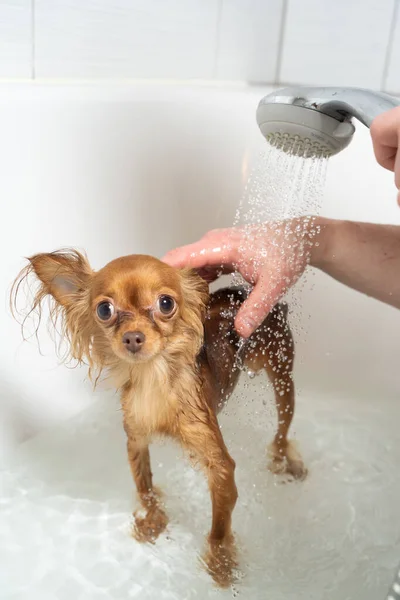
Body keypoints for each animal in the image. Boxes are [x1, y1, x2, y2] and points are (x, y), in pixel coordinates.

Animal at [12, 251, 306, 588]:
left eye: (166, 304)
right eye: (104, 310)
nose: (132, 337)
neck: (152, 378)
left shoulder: (219, 465)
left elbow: (219, 529)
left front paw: (220, 564)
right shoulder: (136, 441)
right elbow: (146, 489)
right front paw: (153, 522)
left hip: (282, 374)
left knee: (283, 426)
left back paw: (285, 460)